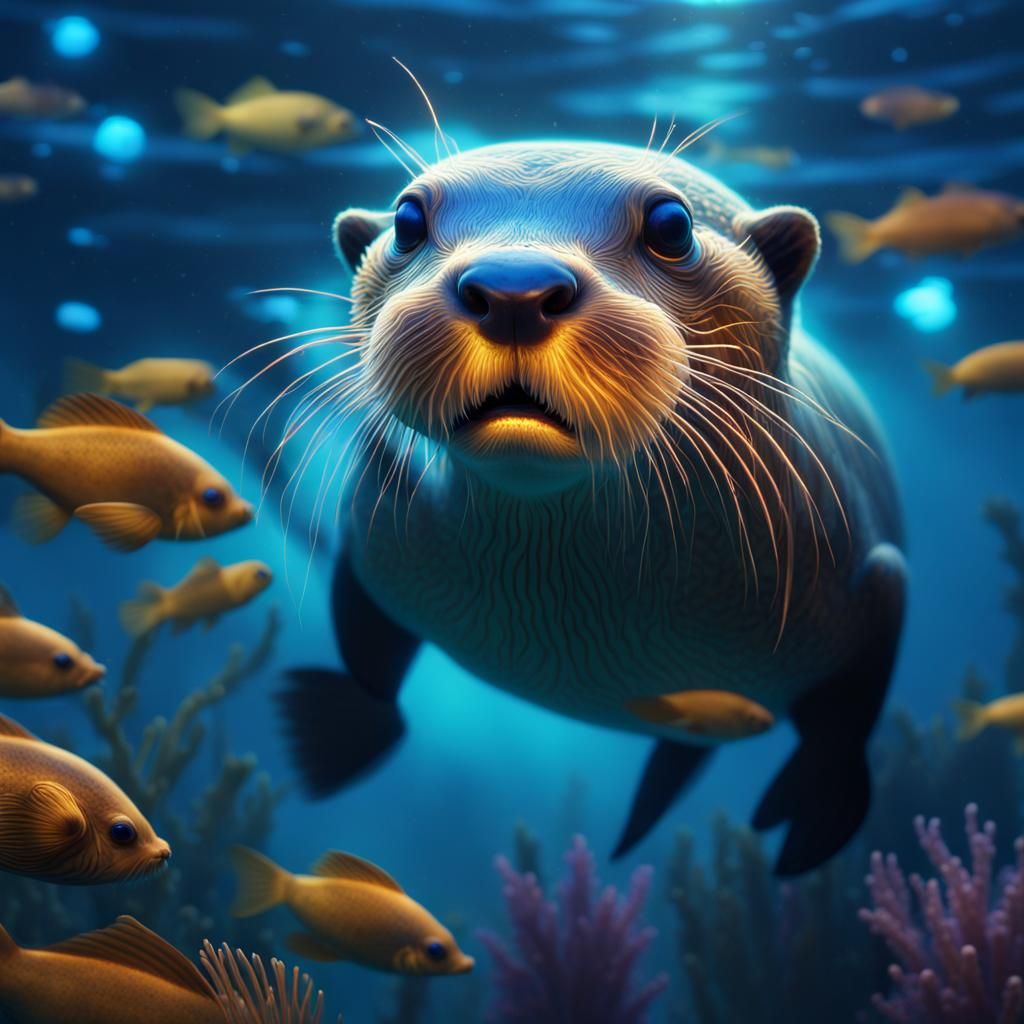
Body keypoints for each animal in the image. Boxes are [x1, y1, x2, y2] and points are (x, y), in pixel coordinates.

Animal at [276, 140, 905, 876]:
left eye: (671, 226)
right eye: (407, 220)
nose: (513, 288)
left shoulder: (875, 576)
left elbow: (845, 728)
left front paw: (815, 814)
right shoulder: (372, 536)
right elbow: (369, 668)